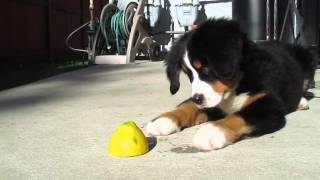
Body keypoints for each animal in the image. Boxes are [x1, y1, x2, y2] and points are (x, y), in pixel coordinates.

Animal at [146, 18, 316, 150]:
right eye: (188, 74)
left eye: (206, 68)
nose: (197, 99)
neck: (236, 87)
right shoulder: (211, 101)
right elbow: (187, 106)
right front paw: (164, 119)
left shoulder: (267, 106)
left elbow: (239, 116)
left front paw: (212, 131)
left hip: (308, 62)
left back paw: (301, 101)